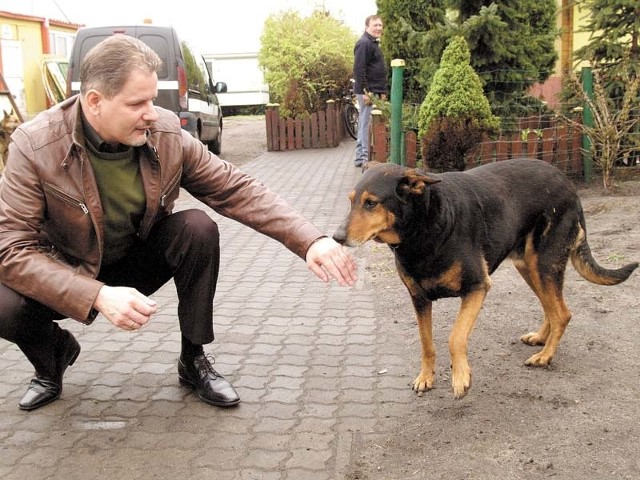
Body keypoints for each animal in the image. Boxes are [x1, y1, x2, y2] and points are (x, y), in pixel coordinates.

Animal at [332, 159, 636, 400]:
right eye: (351, 201)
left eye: (371, 203)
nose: (336, 238)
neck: (422, 228)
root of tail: (568, 184)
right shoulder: (419, 299)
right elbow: (426, 343)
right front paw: (426, 377)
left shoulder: (477, 287)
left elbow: (455, 337)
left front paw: (460, 377)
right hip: (529, 266)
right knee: (552, 307)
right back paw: (541, 338)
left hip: (544, 263)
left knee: (562, 313)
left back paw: (545, 356)